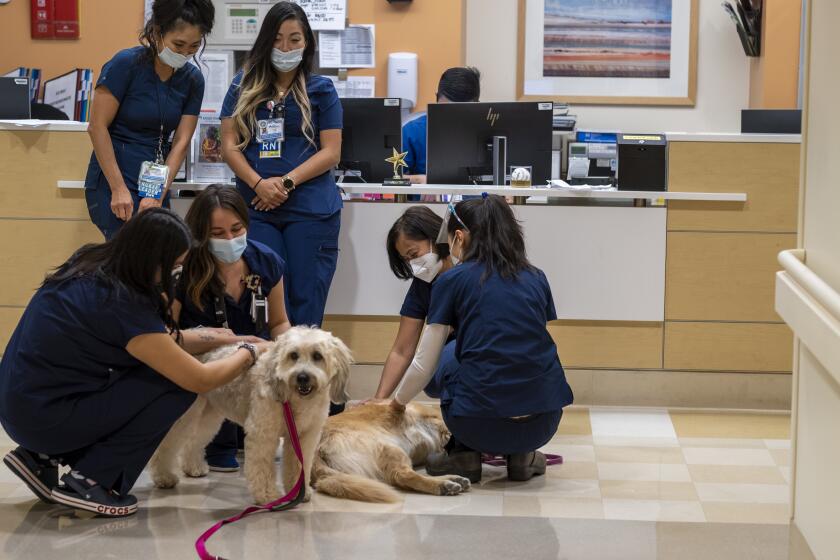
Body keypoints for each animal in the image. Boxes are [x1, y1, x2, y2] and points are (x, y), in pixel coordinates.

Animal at [148, 324, 352, 504]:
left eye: (317, 356)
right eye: (293, 355)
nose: (302, 377)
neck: (294, 400)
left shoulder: (305, 437)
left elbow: (299, 465)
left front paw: (299, 492)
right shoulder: (262, 434)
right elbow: (262, 468)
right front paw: (268, 496)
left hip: (209, 415)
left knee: (194, 441)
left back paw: (193, 468)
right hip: (187, 415)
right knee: (166, 446)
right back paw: (164, 477)